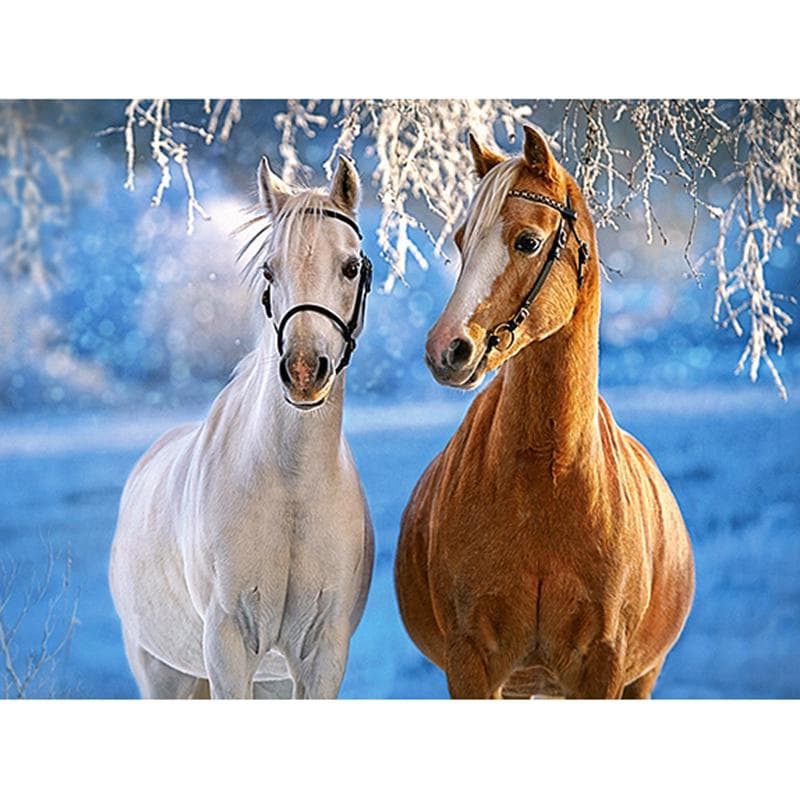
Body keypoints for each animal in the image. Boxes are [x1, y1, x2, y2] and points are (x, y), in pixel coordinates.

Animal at [109, 155, 374, 699]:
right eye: (270, 269)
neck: (291, 487)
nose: (303, 371)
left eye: (351, 266)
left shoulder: (321, 654)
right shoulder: (228, 646)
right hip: (164, 674)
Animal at [395, 126, 695, 699]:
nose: (447, 350)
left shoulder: (603, 668)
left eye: (527, 242)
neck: (546, 479)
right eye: (461, 241)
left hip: (641, 679)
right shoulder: (471, 664)